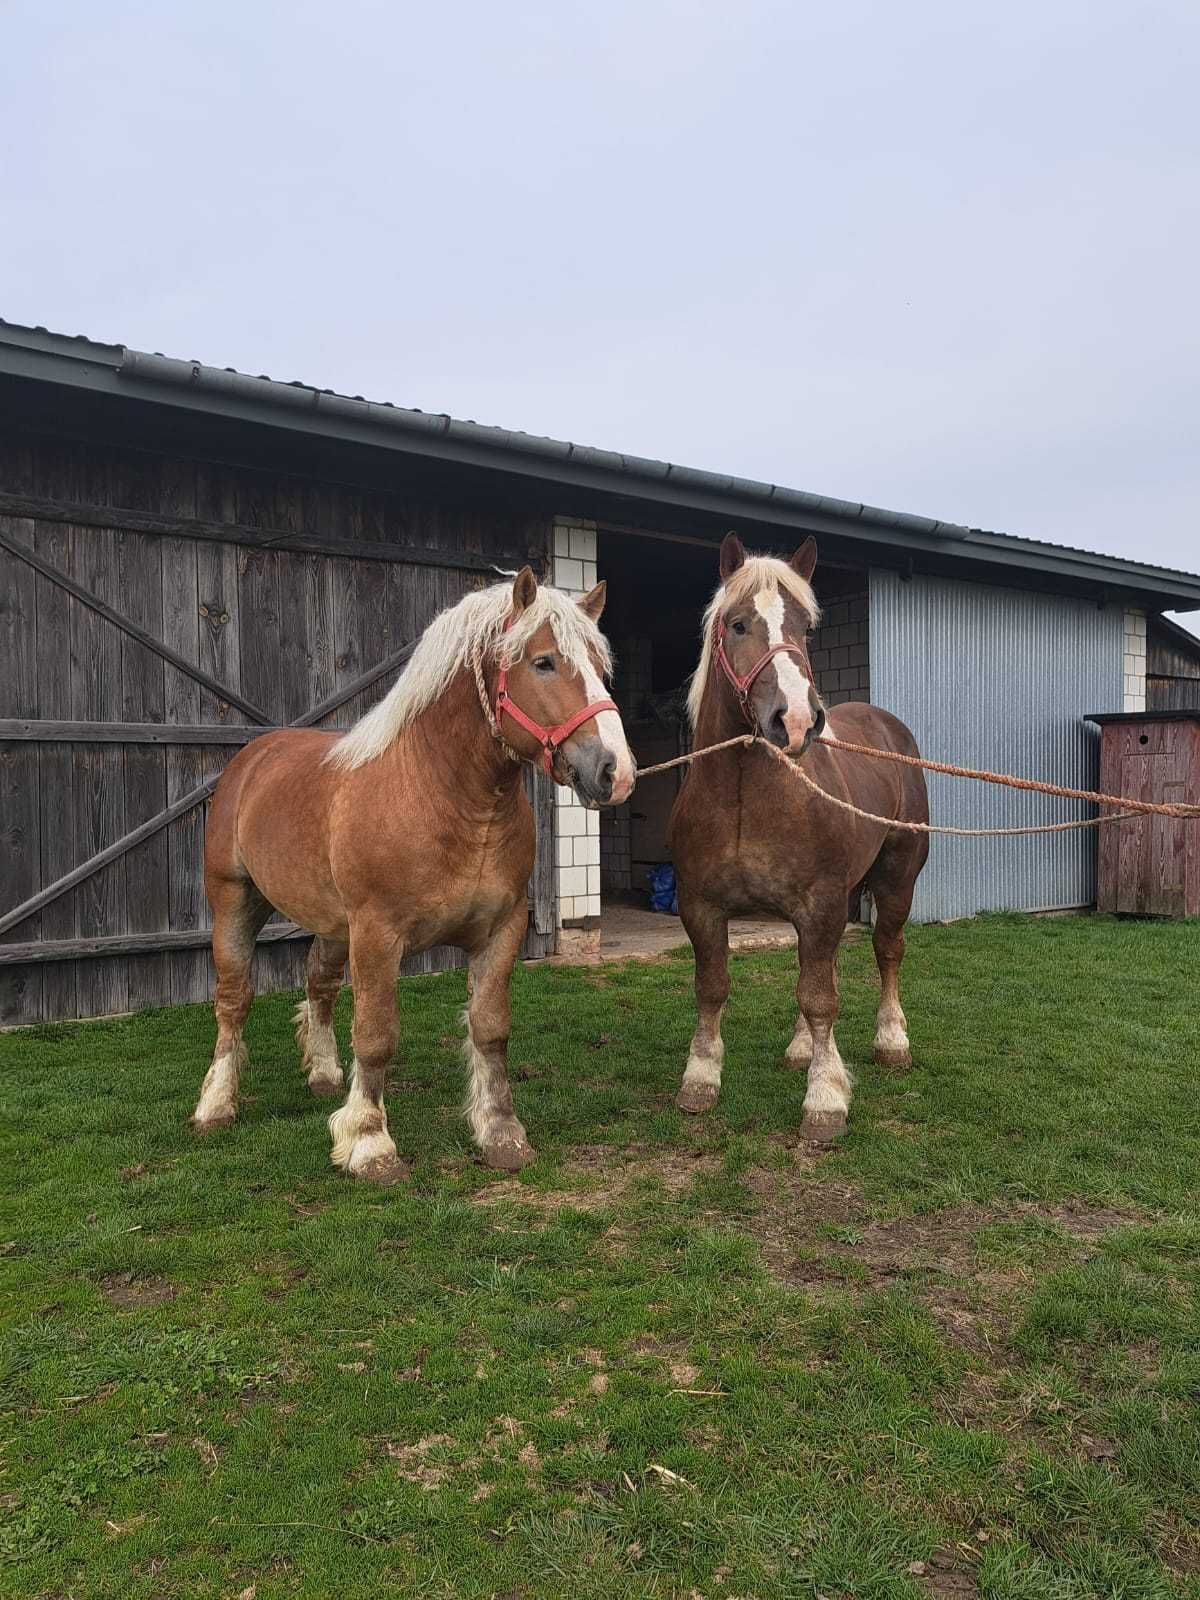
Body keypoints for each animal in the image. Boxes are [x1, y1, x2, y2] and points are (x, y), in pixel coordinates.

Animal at [192, 569, 633, 1184]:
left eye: (599, 664)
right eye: (544, 662)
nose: (616, 772)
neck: (443, 795)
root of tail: (253, 758)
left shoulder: (501, 931)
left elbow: (490, 1029)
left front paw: (501, 1133)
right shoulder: (378, 934)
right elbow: (376, 1035)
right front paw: (368, 1142)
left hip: (333, 924)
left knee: (318, 983)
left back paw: (323, 1076)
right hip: (236, 902)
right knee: (234, 1000)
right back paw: (215, 1106)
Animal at [668, 534, 928, 1139]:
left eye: (806, 628)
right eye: (737, 624)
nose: (796, 721)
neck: (746, 798)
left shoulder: (822, 902)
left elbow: (820, 998)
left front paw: (825, 1100)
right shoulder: (701, 906)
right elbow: (713, 987)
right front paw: (701, 1078)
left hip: (896, 879)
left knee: (887, 951)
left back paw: (891, 1041)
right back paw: (801, 1048)